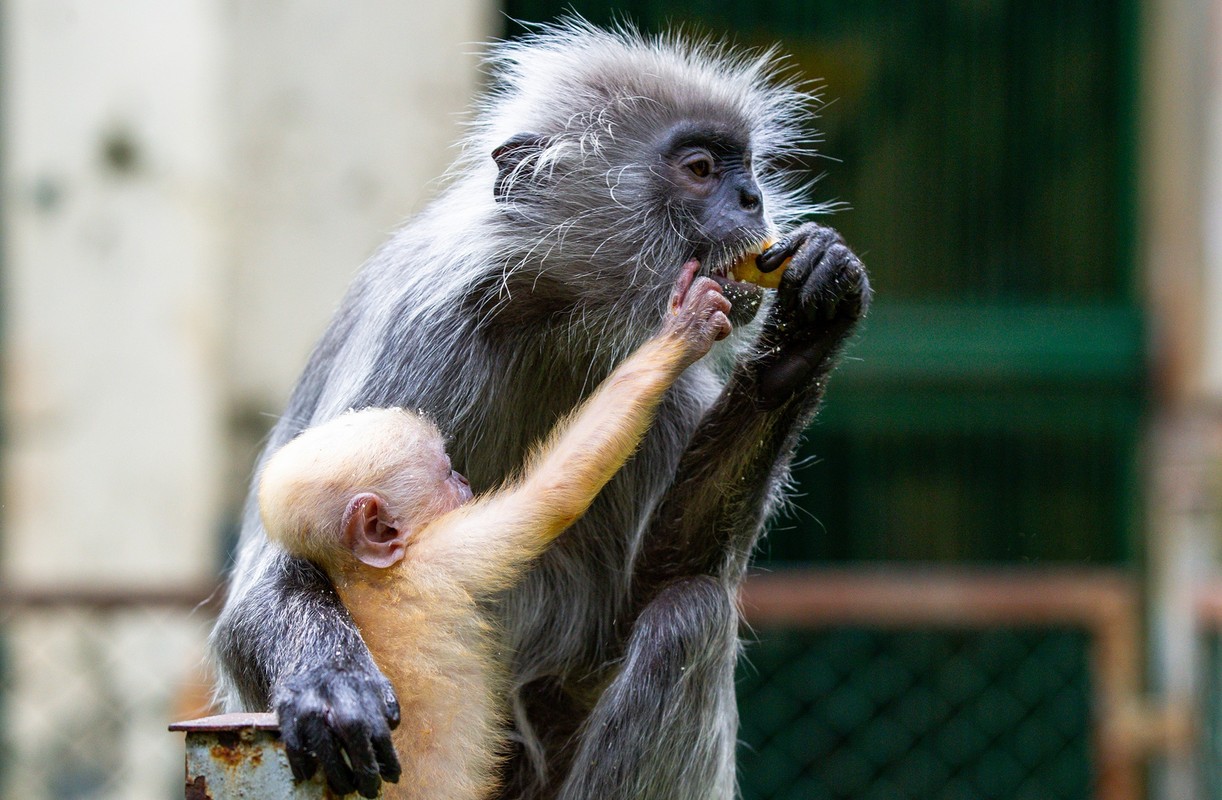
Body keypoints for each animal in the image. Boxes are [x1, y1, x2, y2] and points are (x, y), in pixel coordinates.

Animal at [259, 262, 728, 800]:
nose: (464, 480)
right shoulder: (440, 556)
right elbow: (557, 493)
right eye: (445, 472)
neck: (364, 573)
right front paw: (682, 333)